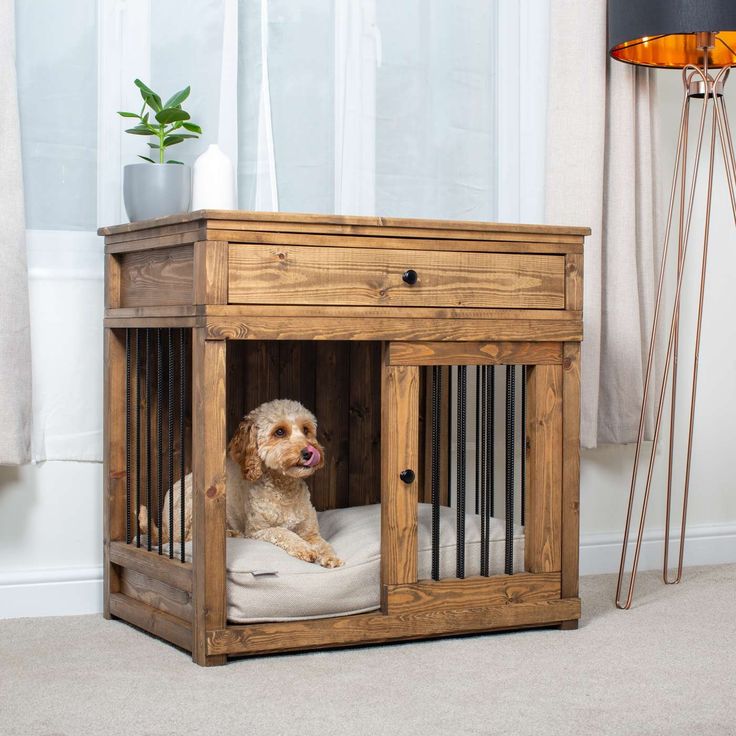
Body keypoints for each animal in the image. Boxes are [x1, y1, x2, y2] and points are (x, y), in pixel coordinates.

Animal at [139, 400, 344, 568]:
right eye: (279, 432)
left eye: (306, 430)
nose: (309, 452)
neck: (285, 488)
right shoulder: (257, 531)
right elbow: (284, 533)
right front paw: (306, 549)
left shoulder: (310, 531)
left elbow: (323, 543)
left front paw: (331, 556)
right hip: (191, 505)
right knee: (186, 539)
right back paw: (230, 534)